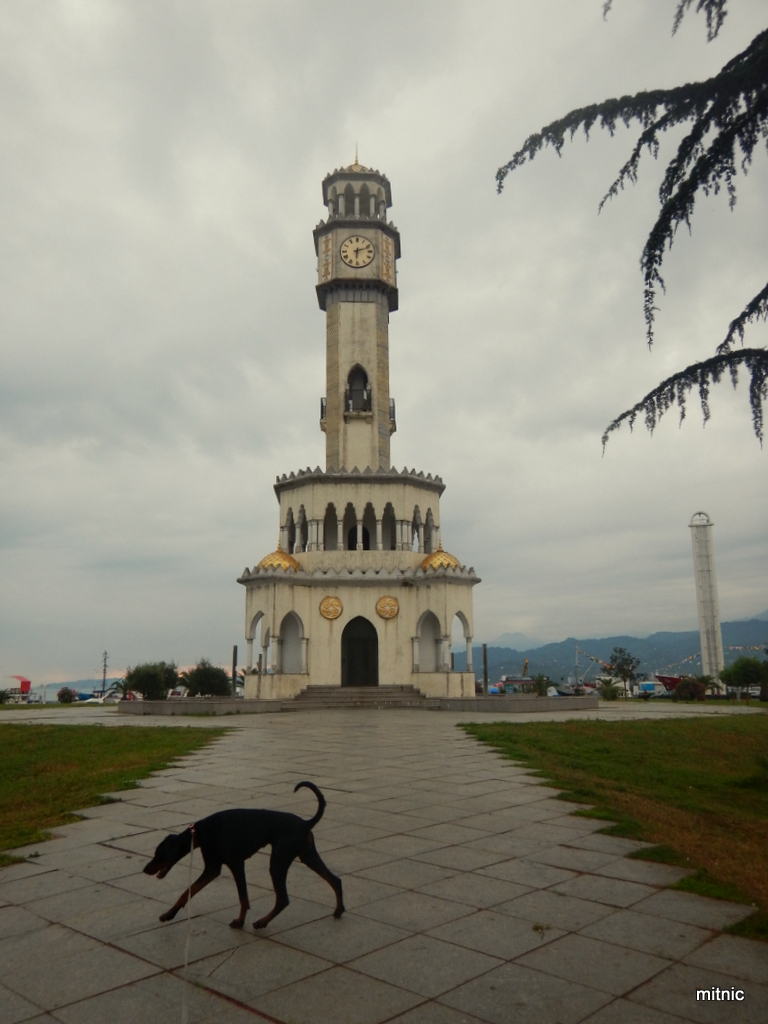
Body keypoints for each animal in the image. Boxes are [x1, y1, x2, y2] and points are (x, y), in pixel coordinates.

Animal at [143, 780, 344, 930]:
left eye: (159, 854)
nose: (145, 869)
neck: (200, 832)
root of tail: (306, 823)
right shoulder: (213, 869)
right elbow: (187, 892)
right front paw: (169, 914)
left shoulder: (233, 864)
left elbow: (242, 897)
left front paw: (240, 922)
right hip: (307, 856)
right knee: (335, 880)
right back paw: (338, 910)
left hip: (278, 862)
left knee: (283, 899)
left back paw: (262, 922)